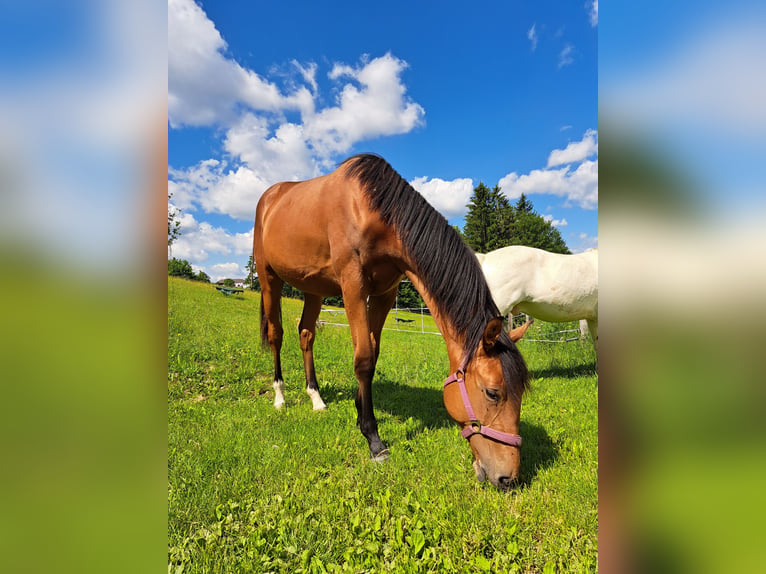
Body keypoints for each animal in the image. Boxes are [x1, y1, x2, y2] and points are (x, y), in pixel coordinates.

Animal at [254, 154, 529, 489]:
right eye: (493, 393)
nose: (508, 478)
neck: (371, 209)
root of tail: (269, 198)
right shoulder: (353, 287)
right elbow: (363, 359)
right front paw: (373, 439)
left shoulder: (385, 293)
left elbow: (372, 355)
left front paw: (360, 413)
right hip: (269, 280)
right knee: (276, 334)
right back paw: (280, 396)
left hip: (313, 288)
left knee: (306, 334)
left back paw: (316, 398)